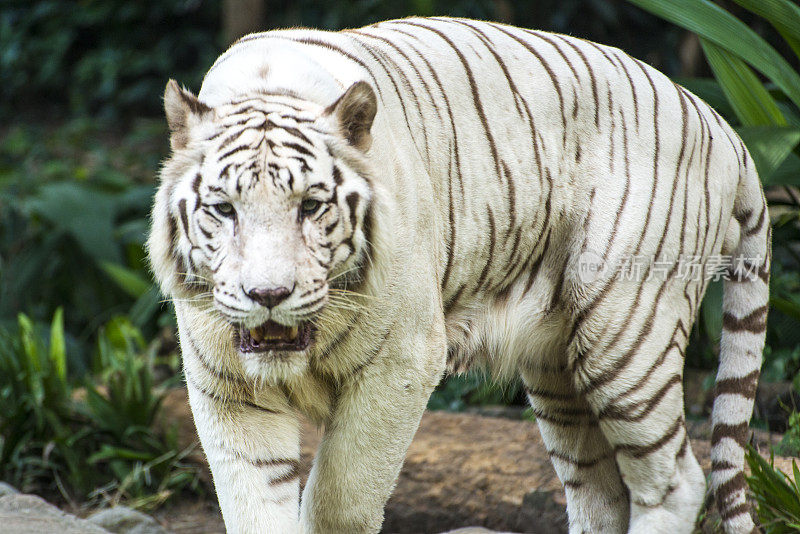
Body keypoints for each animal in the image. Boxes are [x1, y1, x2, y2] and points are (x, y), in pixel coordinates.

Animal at [148, 15, 768, 534]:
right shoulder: (227, 388)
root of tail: (721, 125)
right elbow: (253, 506)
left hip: (626, 333)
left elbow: (338, 500)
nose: (268, 295)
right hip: (559, 367)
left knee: (675, 482)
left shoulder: (402, 360)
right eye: (224, 208)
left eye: (311, 206)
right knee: (600, 493)